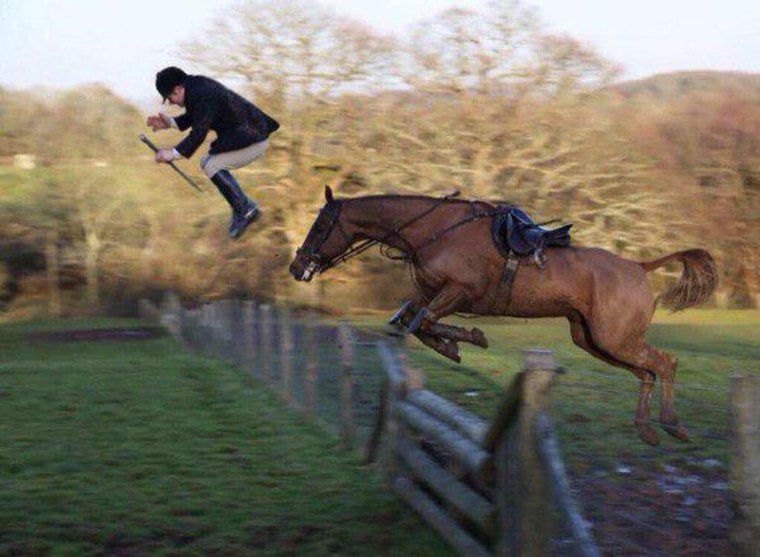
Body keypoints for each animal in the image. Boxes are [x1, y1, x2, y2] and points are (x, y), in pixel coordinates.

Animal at [286, 187, 720, 448]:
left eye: (321, 225)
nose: (297, 267)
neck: (434, 230)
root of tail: (639, 266)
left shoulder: (460, 292)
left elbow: (421, 320)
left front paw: (468, 339)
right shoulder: (432, 294)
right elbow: (412, 320)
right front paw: (454, 345)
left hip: (615, 338)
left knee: (666, 363)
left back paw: (672, 423)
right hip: (595, 340)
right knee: (647, 372)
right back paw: (647, 429)